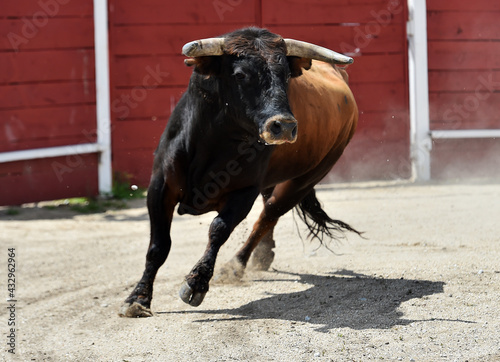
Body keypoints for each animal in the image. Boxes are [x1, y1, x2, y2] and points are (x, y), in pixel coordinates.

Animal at [121, 27, 364, 316]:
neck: (216, 141)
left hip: (308, 177)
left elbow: (218, 230)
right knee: (268, 210)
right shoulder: (160, 187)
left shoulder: (244, 191)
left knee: (268, 214)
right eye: (240, 74)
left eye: (286, 76)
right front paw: (138, 298)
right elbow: (158, 245)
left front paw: (196, 284)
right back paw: (263, 255)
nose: (283, 126)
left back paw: (236, 265)